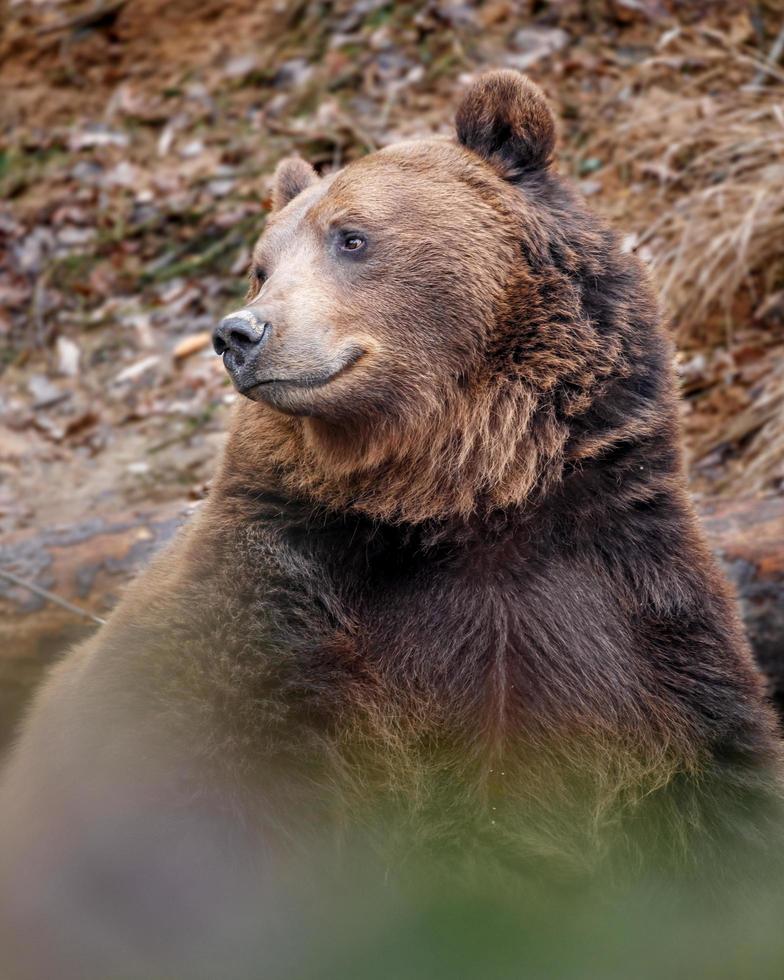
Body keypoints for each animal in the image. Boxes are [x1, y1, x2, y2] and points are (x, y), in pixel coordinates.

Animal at [1, 71, 784, 980]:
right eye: (262, 264)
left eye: (352, 237)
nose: (240, 332)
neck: (463, 505)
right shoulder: (275, 624)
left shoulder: (625, 603)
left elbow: (712, 792)